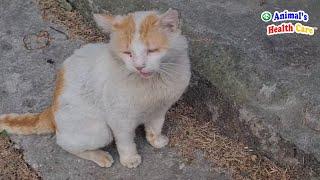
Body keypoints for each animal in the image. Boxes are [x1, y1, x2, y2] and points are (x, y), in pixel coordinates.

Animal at [0, 8, 190, 168]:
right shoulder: (120, 119)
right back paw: (100, 156)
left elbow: (155, 126)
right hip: (101, 131)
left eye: (151, 51)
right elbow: (125, 142)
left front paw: (155, 140)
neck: (152, 84)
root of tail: (51, 109)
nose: (139, 66)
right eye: (128, 53)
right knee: (65, 144)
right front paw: (130, 159)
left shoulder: (160, 108)